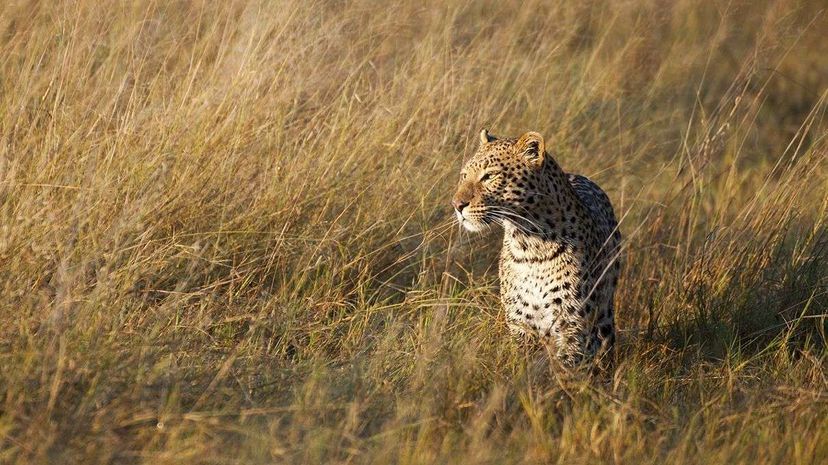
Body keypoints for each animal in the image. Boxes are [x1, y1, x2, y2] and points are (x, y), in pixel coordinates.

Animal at [452, 128, 620, 366]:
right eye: (464, 175)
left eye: (489, 176)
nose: (457, 205)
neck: (529, 245)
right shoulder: (521, 326)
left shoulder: (573, 328)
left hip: (605, 310)